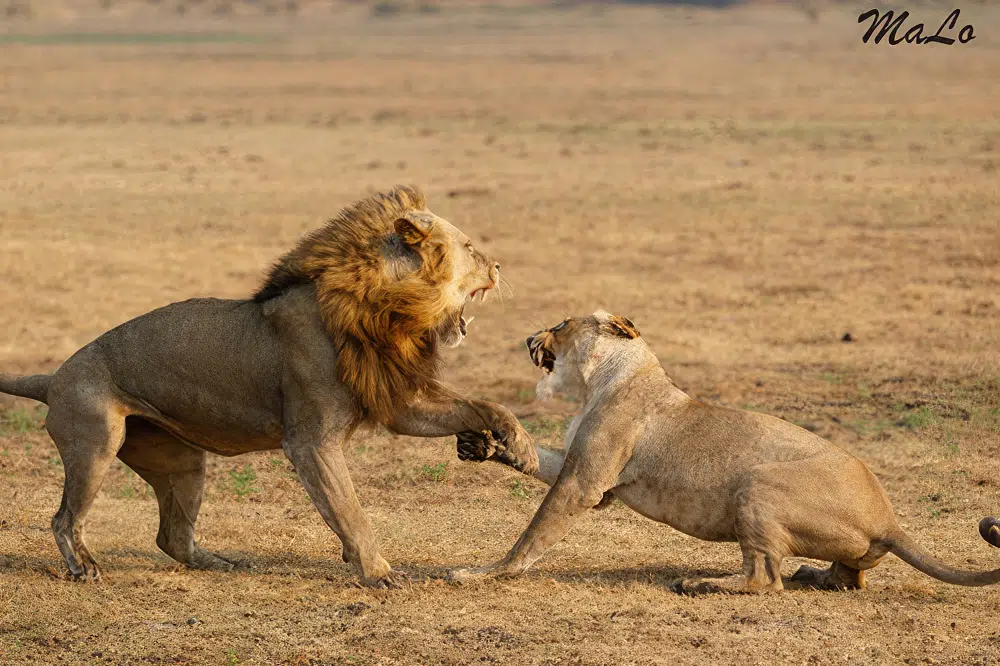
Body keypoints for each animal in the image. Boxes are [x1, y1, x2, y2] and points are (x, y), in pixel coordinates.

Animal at [0, 185, 538, 588]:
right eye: (470, 248)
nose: (499, 268)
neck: (388, 312)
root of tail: (55, 376)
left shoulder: (399, 402)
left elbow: (484, 404)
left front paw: (518, 446)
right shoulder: (311, 441)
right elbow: (349, 509)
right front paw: (378, 572)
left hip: (180, 462)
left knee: (172, 537)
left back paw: (226, 564)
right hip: (95, 444)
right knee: (64, 519)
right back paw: (84, 567)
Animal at [453, 311, 1000, 592]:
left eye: (563, 322)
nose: (528, 336)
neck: (599, 380)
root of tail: (890, 519)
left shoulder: (585, 484)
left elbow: (532, 534)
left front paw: (482, 573)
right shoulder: (587, 478)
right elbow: (530, 456)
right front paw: (487, 443)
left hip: (757, 483)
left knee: (764, 580)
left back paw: (704, 584)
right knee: (846, 578)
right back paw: (815, 574)